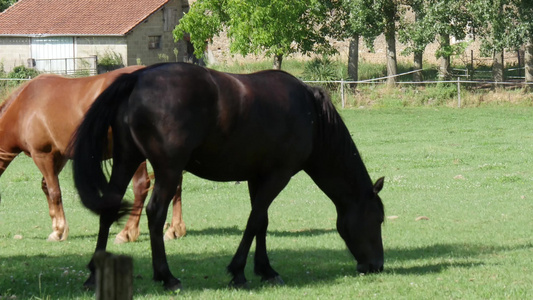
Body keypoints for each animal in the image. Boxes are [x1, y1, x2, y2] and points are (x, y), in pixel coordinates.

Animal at [0, 67, 187, 243]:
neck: (23, 108)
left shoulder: (43, 155)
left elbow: (54, 192)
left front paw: (59, 230)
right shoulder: (59, 156)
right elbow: (46, 187)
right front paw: (56, 228)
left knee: (141, 187)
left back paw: (127, 232)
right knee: (175, 184)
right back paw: (174, 229)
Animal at [71, 62, 386, 290]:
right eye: (378, 218)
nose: (377, 265)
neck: (312, 116)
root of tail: (137, 78)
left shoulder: (258, 177)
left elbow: (262, 221)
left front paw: (265, 270)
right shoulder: (278, 176)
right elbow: (255, 220)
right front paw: (239, 271)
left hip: (127, 160)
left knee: (109, 208)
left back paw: (94, 274)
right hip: (168, 170)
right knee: (155, 213)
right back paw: (167, 276)